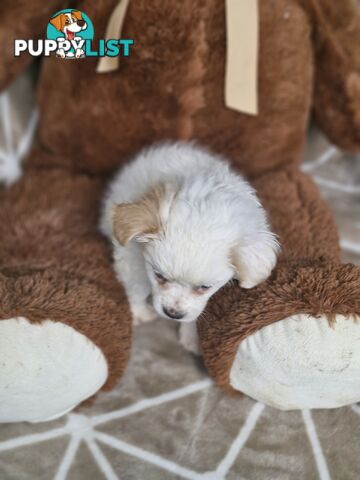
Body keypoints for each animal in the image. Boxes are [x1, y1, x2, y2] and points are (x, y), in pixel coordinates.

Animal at [100, 142, 280, 352]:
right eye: (159, 276)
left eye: (204, 287)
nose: (173, 313)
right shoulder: (132, 255)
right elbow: (137, 285)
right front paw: (140, 313)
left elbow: (194, 312)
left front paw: (191, 337)